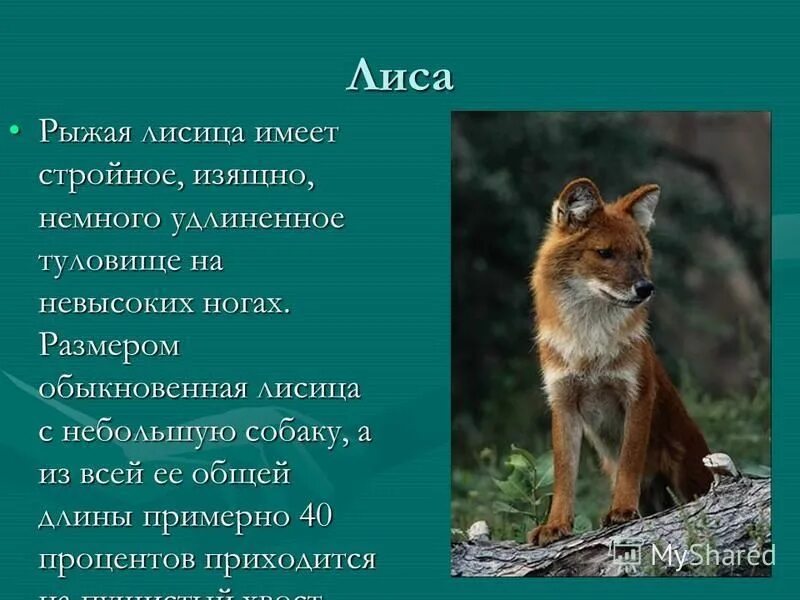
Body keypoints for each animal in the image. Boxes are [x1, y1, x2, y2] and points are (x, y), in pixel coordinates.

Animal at [528, 178, 713, 546]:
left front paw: (623, 510)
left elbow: (630, 459)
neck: (589, 344)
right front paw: (556, 525)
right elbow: (564, 472)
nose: (646, 288)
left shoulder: (638, 394)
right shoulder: (563, 402)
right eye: (605, 253)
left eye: (639, 254)